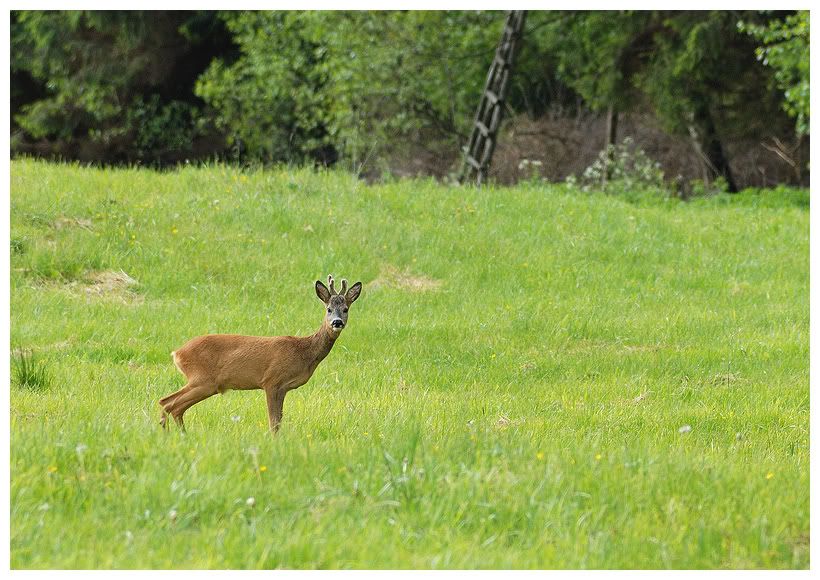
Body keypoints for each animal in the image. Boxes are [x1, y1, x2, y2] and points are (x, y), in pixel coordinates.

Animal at [159, 276, 362, 436]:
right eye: (328, 309)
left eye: (346, 309)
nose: (337, 322)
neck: (303, 351)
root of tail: (177, 353)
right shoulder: (271, 381)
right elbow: (274, 422)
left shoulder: (283, 388)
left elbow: (278, 420)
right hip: (203, 380)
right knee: (169, 403)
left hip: (204, 383)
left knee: (171, 405)